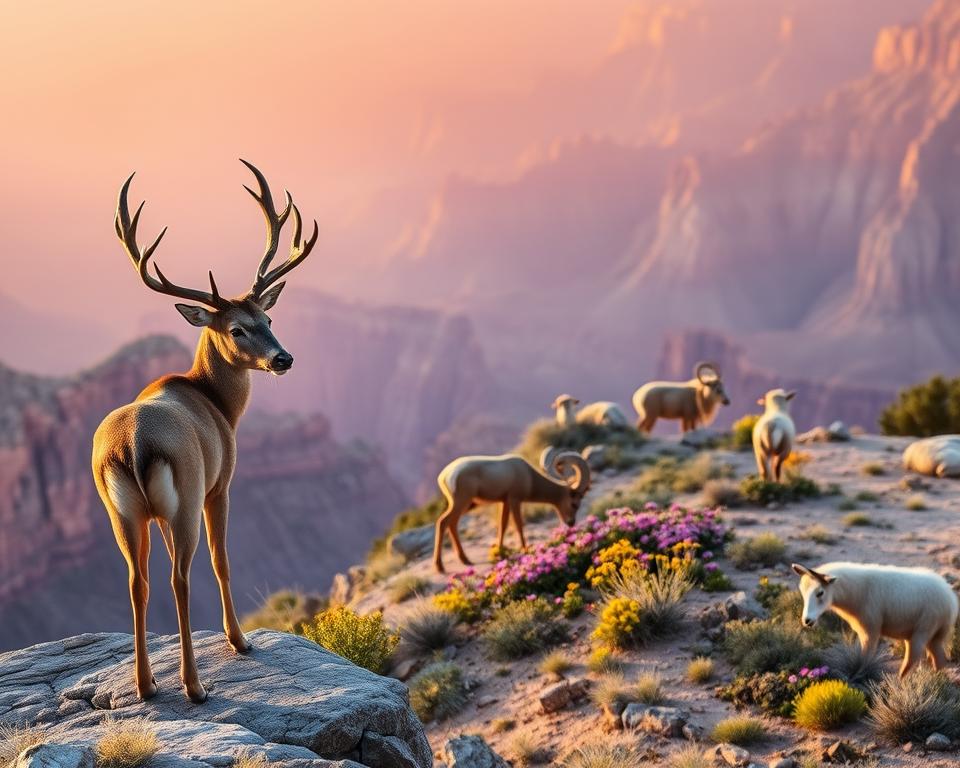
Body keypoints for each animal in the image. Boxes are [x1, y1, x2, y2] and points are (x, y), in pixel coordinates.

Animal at [91, 160, 317, 703]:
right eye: (236, 328)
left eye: (268, 316)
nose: (284, 358)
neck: (216, 403)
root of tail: (132, 447)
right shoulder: (222, 484)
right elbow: (222, 560)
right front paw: (240, 640)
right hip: (188, 496)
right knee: (182, 575)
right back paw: (194, 685)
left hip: (123, 512)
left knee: (138, 579)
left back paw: (148, 685)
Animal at [432, 450, 591, 573]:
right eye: (574, 503)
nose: (571, 523)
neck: (528, 475)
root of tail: (445, 476)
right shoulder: (515, 499)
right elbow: (518, 525)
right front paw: (525, 550)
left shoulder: (505, 502)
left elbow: (503, 525)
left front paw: (501, 553)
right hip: (462, 502)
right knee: (443, 522)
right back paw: (441, 566)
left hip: (466, 505)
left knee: (452, 523)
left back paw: (465, 560)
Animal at [792, 562, 959, 677]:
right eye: (802, 592)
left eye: (820, 593)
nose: (807, 620)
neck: (855, 591)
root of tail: (950, 598)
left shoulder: (869, 630)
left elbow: (865, 658)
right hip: (934, 634)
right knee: (938, 660)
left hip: (923, 630)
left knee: (911, 661)